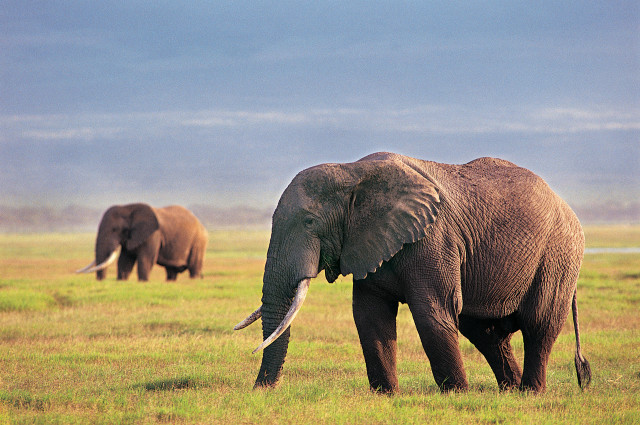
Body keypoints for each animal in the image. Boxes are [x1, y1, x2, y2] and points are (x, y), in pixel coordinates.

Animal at [77, 203, 208, 281]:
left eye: (114, 230)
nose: (101, 280)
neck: (128, 208)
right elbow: (125, 261)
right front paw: (122, 281)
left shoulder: (153, 235)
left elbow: (146, 259)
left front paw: (143, 282)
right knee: (171, 271)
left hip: (198, 242)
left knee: (194, 268)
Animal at [235, 152, 591, 394]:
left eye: (310, 222)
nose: (260, 391)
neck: (352, 171)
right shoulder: (367, 242)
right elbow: (369, 315)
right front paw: (386, 396)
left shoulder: (433, 238)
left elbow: (431, 311)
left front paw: (456, 396)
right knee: (485, 332)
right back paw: (510, 392)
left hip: (558, 254)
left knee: (539, 325)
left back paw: (530, 393)